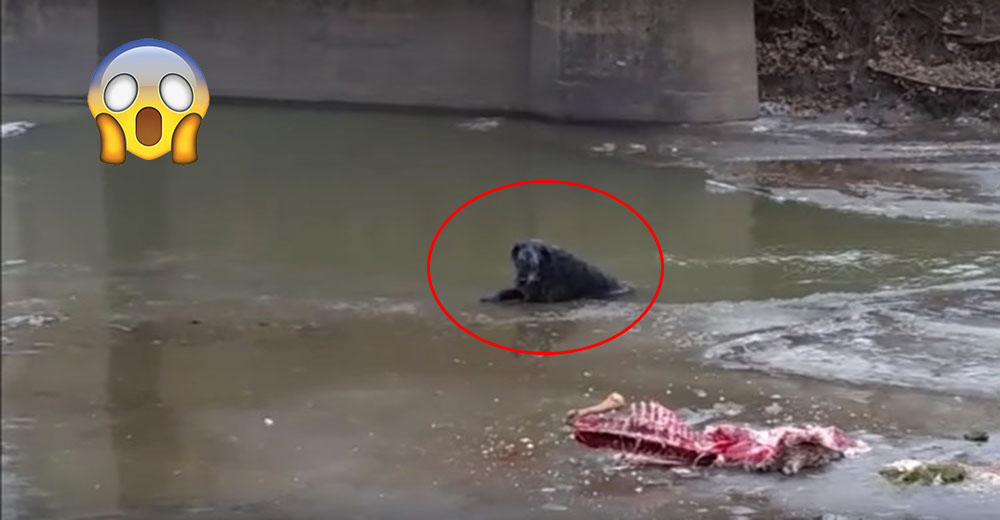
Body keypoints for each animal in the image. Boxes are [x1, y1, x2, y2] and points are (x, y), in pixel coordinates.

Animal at [478, 240, 628, 304]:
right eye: (519, 261)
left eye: (533, 263)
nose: (521, 280)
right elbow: (506, 292)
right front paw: (491, 296)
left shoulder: (546, 297)